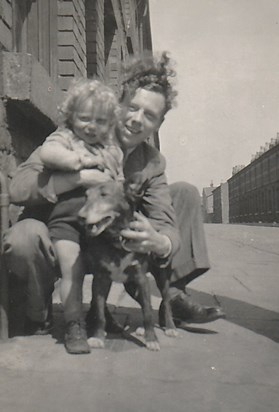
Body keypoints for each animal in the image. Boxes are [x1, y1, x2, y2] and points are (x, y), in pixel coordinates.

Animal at [77, 179, 178, 350]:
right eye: (85, 196)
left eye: (104, 195)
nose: (80, 217)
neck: (117, 240)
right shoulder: (100, 279)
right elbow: (99, 312)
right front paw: (97, 337)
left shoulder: (142, 279)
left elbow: (148, 313)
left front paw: (152, 340)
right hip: (131, 286)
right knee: (144, 303)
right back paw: (142, 329)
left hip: (160, 278)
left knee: (165, 301)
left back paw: (170, 327)